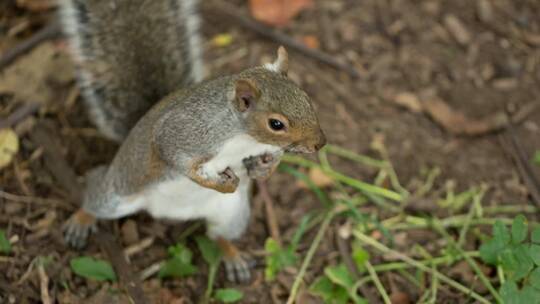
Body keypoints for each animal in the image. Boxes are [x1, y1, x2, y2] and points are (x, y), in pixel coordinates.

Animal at [61, 0, 326, 282]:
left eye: (306, 98)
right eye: (276, 124)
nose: (320, 143)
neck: (245, 136)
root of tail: (170, 213)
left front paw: (262, 170)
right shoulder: (185, 131)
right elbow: (176, 157)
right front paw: (220, 184)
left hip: (231, 214)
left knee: (219, 236)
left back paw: (233, 256)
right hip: (118, 194)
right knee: (97, 191)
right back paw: (81, 220)